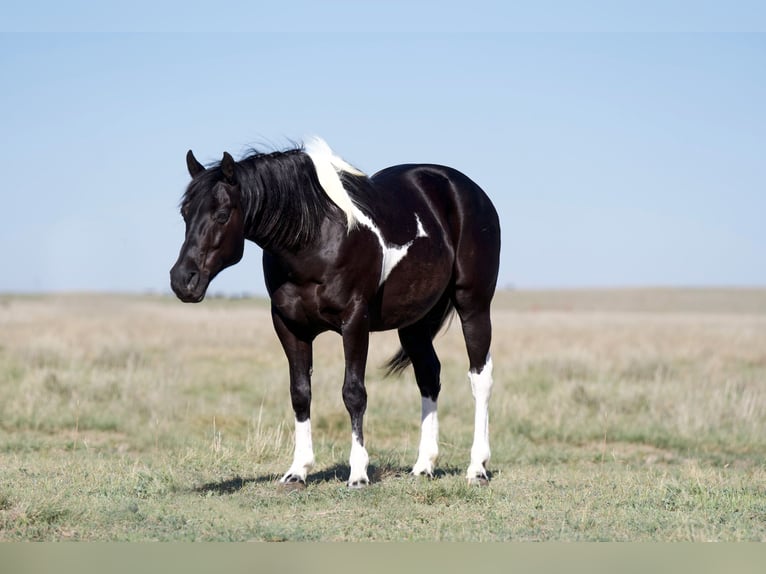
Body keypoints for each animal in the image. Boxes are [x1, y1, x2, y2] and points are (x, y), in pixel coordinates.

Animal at [170, 137, 500, 488]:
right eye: (185, 212)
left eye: (221, 214)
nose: (182, 280)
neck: (315, 239)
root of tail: (467, 190)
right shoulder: (289, 326)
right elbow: (300, 393)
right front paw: (298, 470)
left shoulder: (354, 321)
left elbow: (353, 392)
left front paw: (358, 474)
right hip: (415, 322)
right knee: (428, 375)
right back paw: (424, 465)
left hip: (473, 304)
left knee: (480, 377)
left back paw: (477, 468)